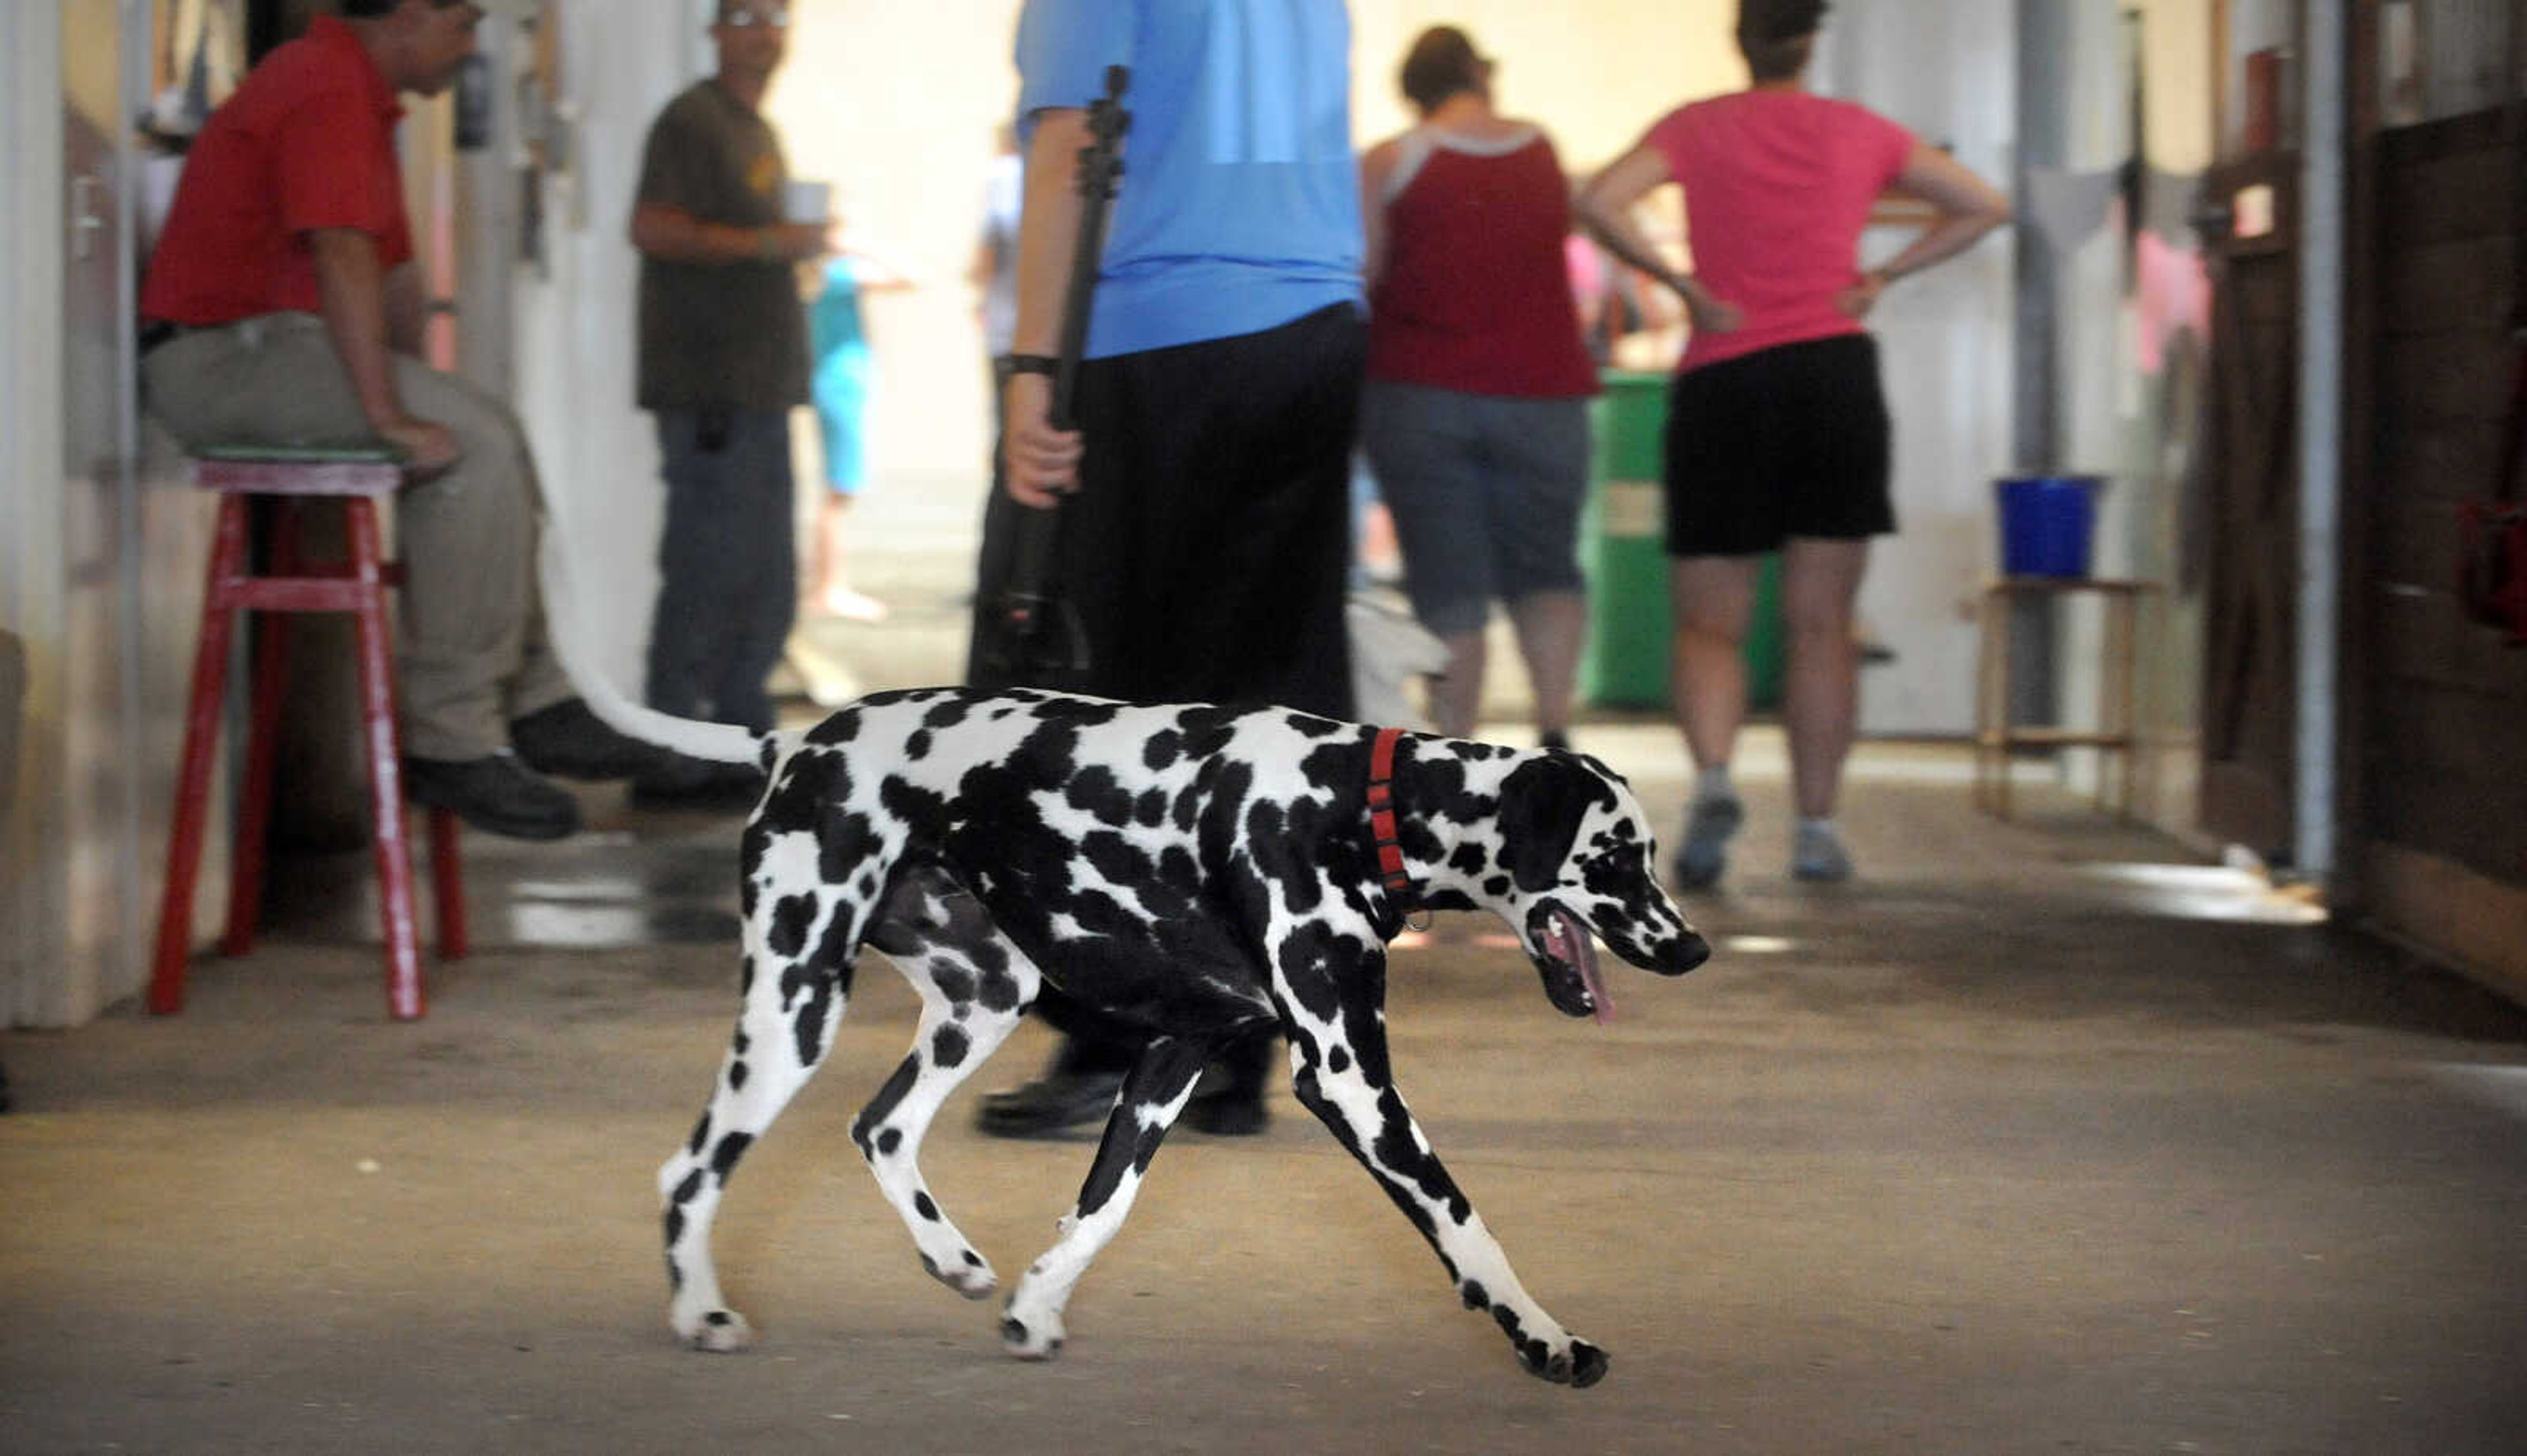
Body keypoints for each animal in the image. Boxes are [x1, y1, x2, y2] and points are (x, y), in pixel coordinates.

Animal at [632, 688, 1708, 1385]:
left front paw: (1036, 1305)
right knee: (689, 1170)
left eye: (1648, 853)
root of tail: (797, 742)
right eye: (1617, 856)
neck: (1355, 802)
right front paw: (1547, 1339)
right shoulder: (1350, 1080)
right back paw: (700, 1313)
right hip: (794, 1008)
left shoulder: (1174, 1054)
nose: (1692, 946)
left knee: (881, 1127)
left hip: (985, 998)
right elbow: (1465, 1221)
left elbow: (1103, 1208)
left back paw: (953, 1259)